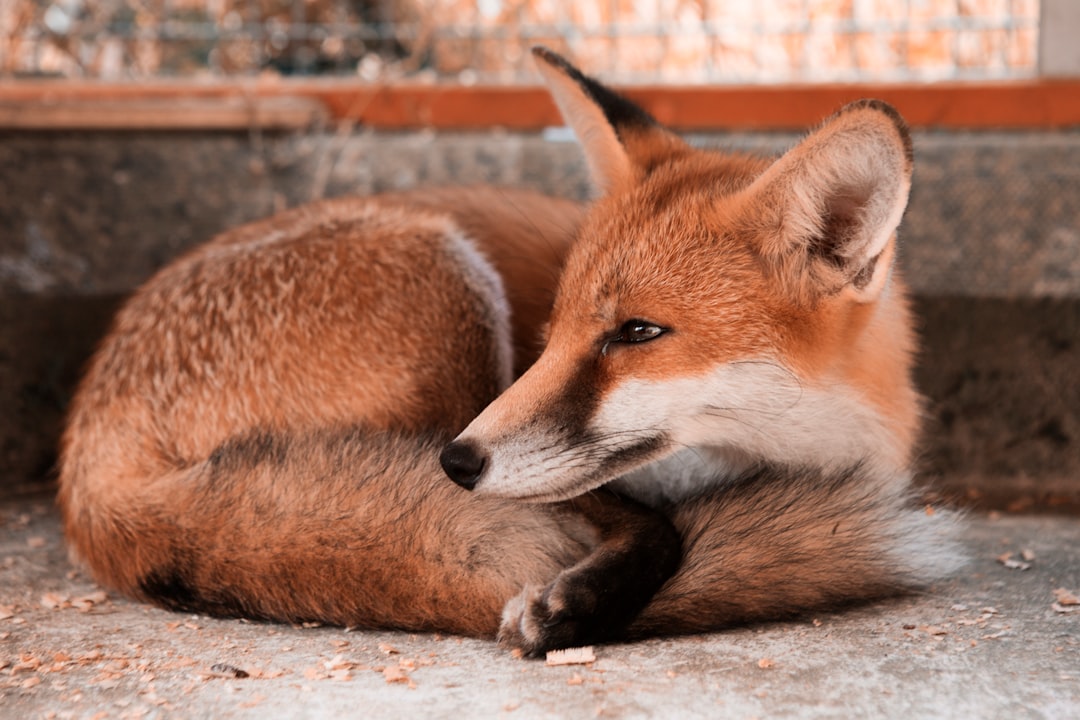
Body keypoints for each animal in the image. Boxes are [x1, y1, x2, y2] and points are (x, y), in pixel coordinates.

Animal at [58, 47, 962, 657]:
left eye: (636, 332)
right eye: (552, 329)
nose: (457, 463)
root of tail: (88, 451)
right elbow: (652, 521)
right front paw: (579, 601)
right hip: (450, 296)